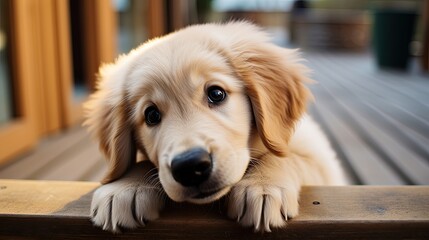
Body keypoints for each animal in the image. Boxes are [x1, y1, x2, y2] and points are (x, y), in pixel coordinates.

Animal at [83, 21, 344, 232]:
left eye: (216, 94)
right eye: (151, 115)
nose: (190, 166)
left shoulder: (321, 160)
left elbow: (285, 157)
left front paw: (262, 185)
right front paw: (124, 188)